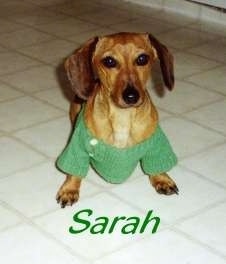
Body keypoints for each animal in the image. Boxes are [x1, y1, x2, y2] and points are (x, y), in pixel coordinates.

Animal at [56, 32, 178, 207]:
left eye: (142, 59)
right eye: (109, 61)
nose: (131, 96)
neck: (123, 117)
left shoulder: (155, 143)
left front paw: (162, 178)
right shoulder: (78, 147)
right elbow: (74, 170)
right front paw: (69, 189)